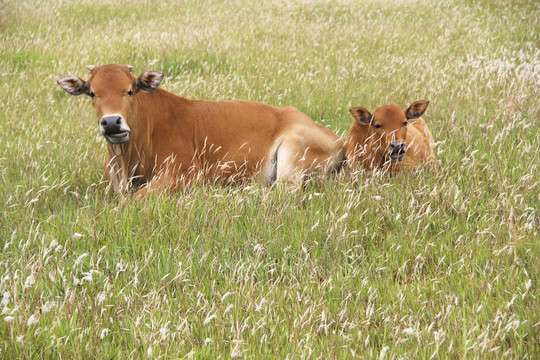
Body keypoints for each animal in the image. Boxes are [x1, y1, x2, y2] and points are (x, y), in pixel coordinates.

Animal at [58, 63, 346, 195]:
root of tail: (339, 141)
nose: (111, 122)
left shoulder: (185, 173)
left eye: (130, 90)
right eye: (92, 93)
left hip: (292, 155)